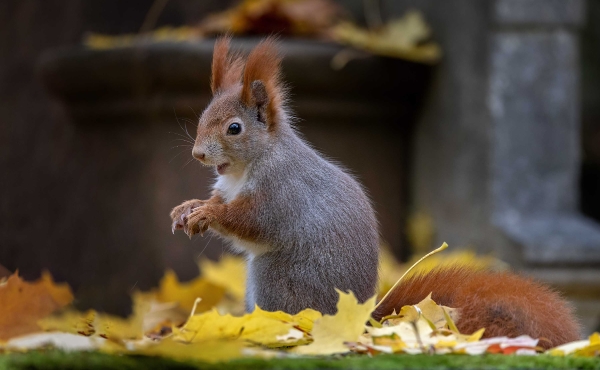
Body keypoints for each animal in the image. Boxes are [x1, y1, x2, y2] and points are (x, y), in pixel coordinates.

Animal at [170, 36, 580, 348]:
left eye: (234, 128)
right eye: (204, 116)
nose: (198, 154)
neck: (249, 166)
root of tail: (359, 322)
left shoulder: (282, 193)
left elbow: (250, 222)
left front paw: (209, 214)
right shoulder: (230, 187)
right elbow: (220, 202)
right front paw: (189, 207)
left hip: (275, 278)